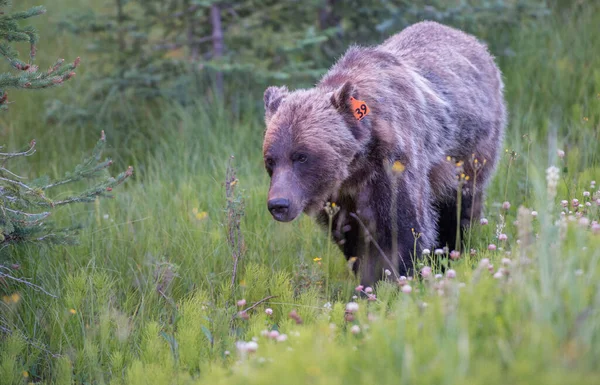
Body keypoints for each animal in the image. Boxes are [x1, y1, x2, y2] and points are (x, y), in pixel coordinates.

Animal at [262, 21, 506, 284]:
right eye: (270, 160)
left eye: (301, 156)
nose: (279, 204)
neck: (356, 166)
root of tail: (473, 41)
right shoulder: (341, 197)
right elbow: (351, 238)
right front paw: (365, 281)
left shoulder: (393, 165)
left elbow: (402, 230)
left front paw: (397, 279)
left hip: (470, 150)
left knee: (460, 205)